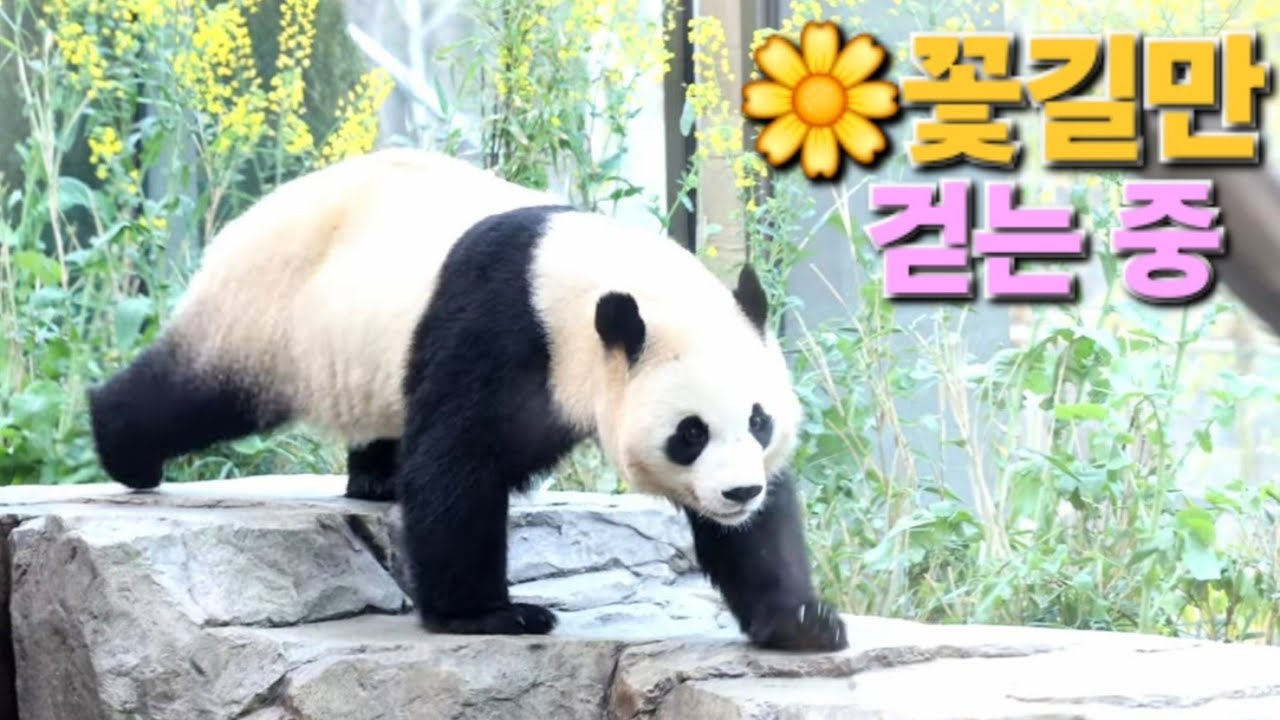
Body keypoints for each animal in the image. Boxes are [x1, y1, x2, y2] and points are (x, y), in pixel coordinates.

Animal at [88, 148, 849, 652]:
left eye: (758, 421)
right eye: (689, 433)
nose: (737, 493)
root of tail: (256, 210)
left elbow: (762, 534)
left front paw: (802, 621)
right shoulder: (499, 324)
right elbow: (456, 465)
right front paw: (490, 616)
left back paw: (374, 476)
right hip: (270, 309)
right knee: (195, 394)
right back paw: (123, 448)